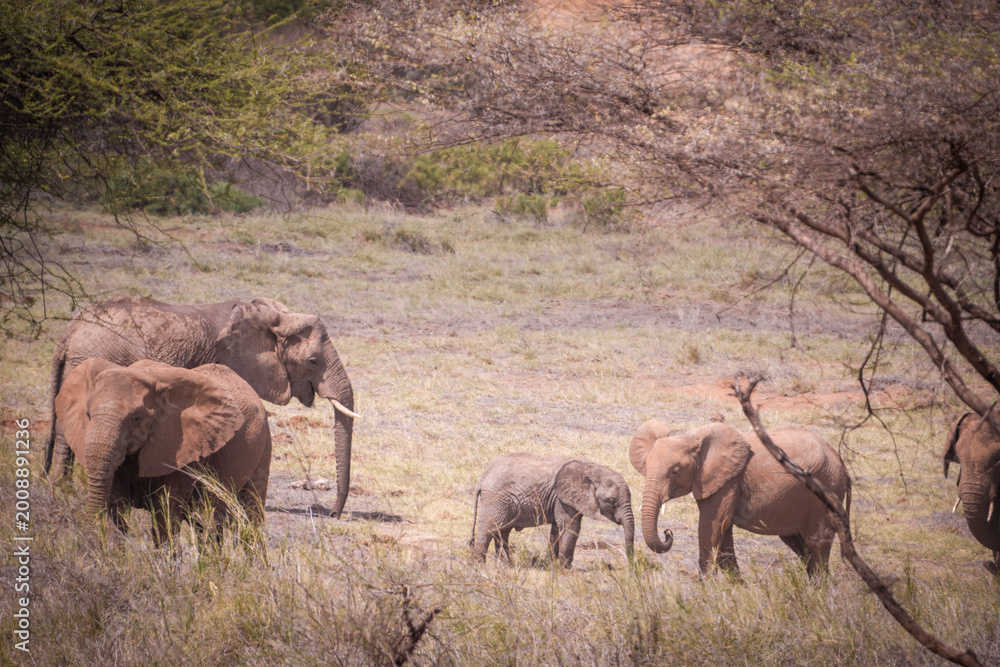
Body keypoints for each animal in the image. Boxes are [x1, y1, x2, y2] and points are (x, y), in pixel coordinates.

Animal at [54, 358, 272, 543]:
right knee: (206, 522)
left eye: (137, 418)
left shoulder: (184, 448)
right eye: (88, 414)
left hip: (262, 443)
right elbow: (117, 507)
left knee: (250, 514)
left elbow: (165, 512)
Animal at [470, 452, 635, 568]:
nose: (631, 565)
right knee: (489, 530)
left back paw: (506, 566)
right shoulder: (563, 498)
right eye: (611, 502)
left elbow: (557, 530)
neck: (594, 469)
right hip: (496, 499)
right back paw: (480, 566)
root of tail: (482, 478)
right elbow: (570, 527)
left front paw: (552, 565)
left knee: (502, 532)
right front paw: (565, 569)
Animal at [630, 420, 851, 576]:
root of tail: (840, 461)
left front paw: (704, 592)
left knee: (817, 544)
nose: (667, 533)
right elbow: (723, 536)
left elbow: (712, 528)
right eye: (647, 466)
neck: (692, 436)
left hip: (825, 490)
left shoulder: (728, 481)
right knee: (801, 547)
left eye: (675, 471)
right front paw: (738, 591)